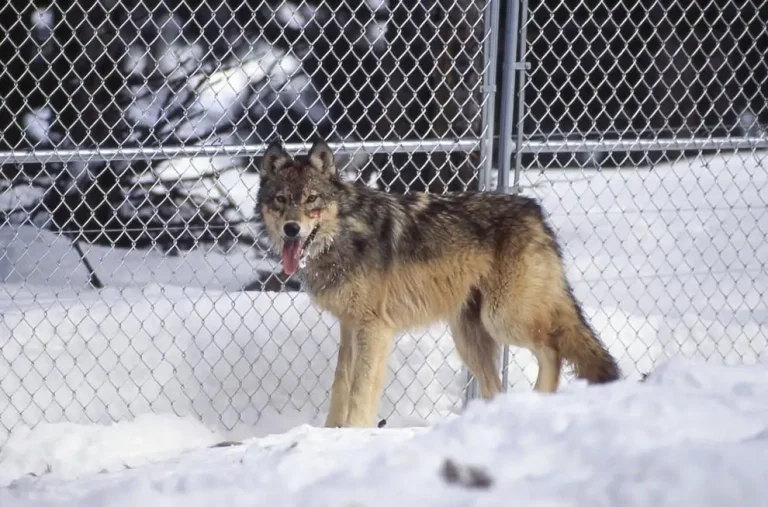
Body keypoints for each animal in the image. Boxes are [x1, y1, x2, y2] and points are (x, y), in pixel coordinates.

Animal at [254, 139, 622, 428]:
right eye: (281, 200)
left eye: (311, 199)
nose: (291, 229)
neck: (344, 232)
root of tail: (535, 211)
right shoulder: (349, 326)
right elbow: (340, 385)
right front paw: (331, 432)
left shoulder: (373, 327)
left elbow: (360, 390)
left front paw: (354, 431)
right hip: (469, 337)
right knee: (498, 385)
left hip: (502, 319)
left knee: (553, 348)